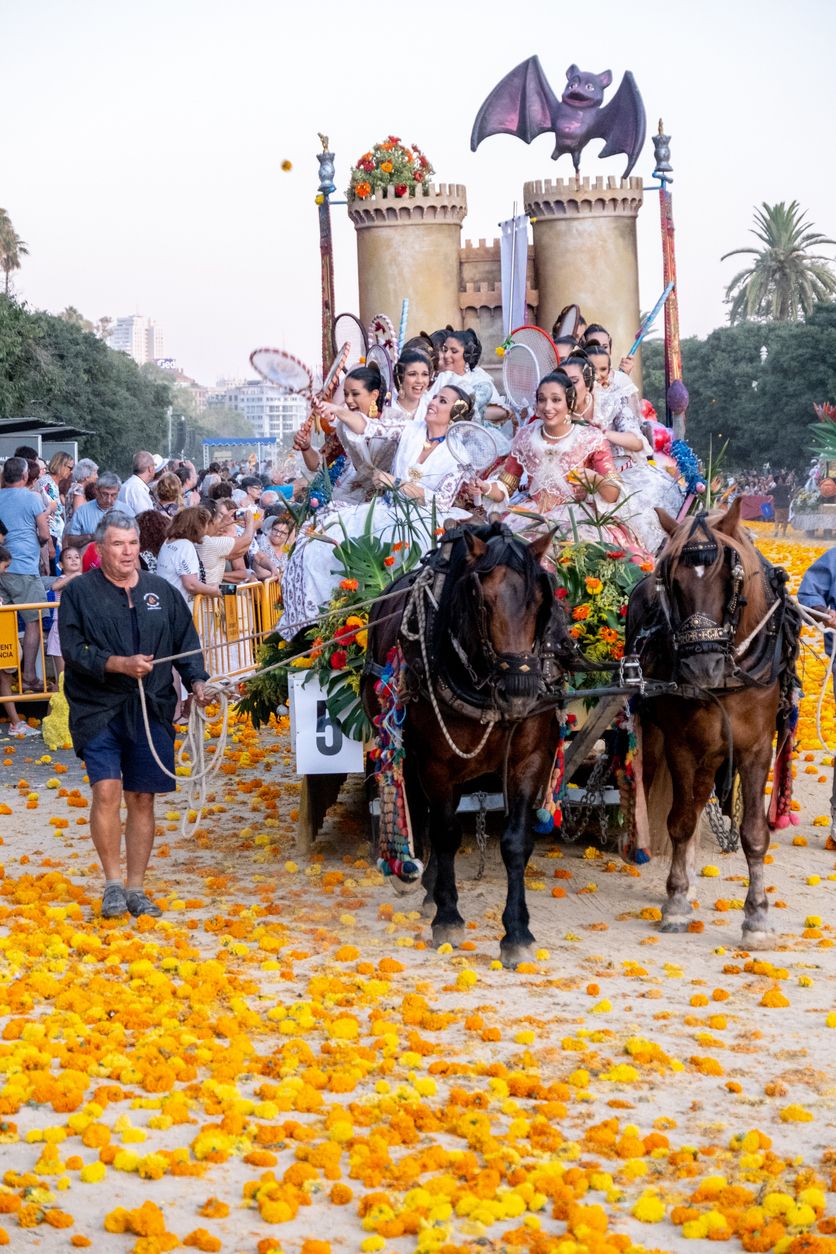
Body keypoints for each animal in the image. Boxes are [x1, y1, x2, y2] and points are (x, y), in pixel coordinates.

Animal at [363, 524, 571, 963]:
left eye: (541, 600)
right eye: (481, 601)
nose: (519, 690)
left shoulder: (529, 759)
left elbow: (515, 843)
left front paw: (517, 933)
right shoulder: (436, 764)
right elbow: (445, 833)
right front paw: (448, 918)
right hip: (405, 745)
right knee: (416, 805)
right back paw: (418, 881)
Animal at [626, 494, 797, 943]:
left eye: (730, 577)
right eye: (670, 581)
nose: (702, 667)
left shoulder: (757, 747)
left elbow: (754, 832)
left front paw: (756, 917)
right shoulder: (683, 745)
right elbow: (681, 822)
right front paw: (675, 901)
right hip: (663, 739)